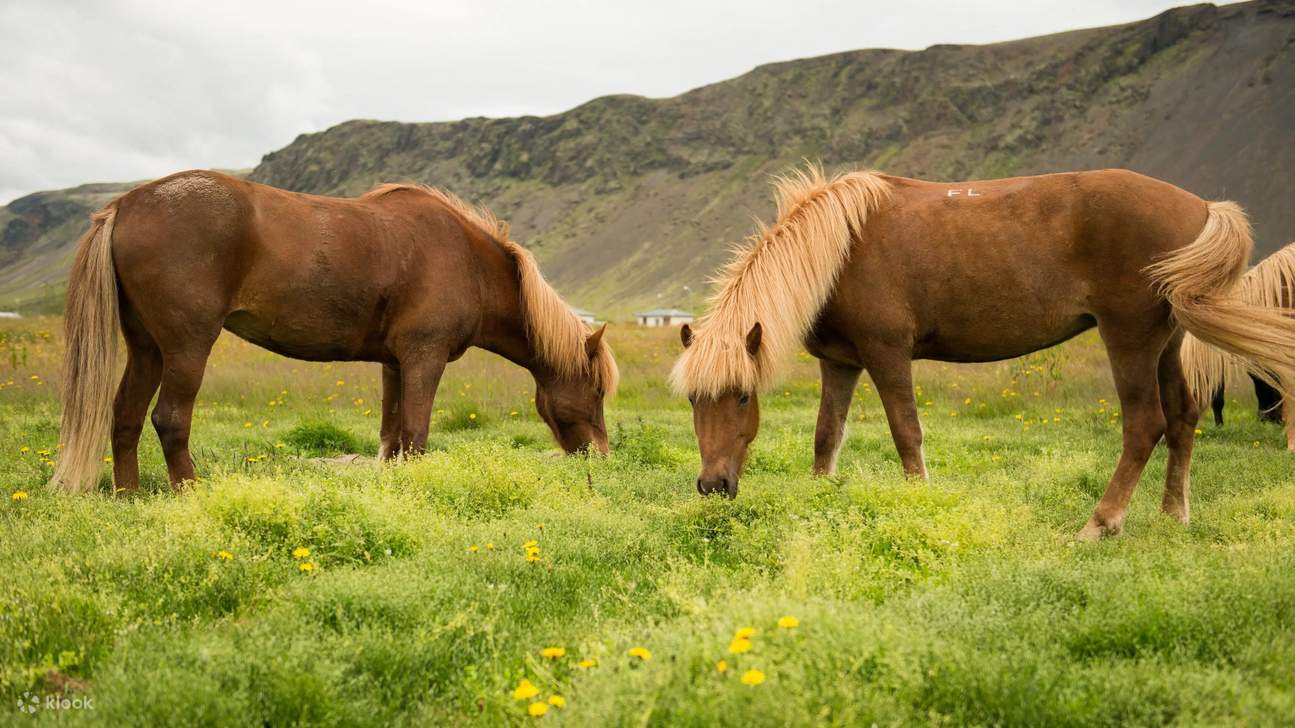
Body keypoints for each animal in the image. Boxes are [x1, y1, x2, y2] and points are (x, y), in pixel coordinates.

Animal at [51, 171, 618, 495]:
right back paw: (189, 491)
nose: (602, 459)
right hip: (188, 347)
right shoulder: (424, 359)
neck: (467, 259)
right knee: (169, 419)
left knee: (125, 417)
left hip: (146, 348)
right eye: (595, 390)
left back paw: (129, 495)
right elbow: (416, 435)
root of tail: (126, 204)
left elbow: (393, 437)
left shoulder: (395, 364)